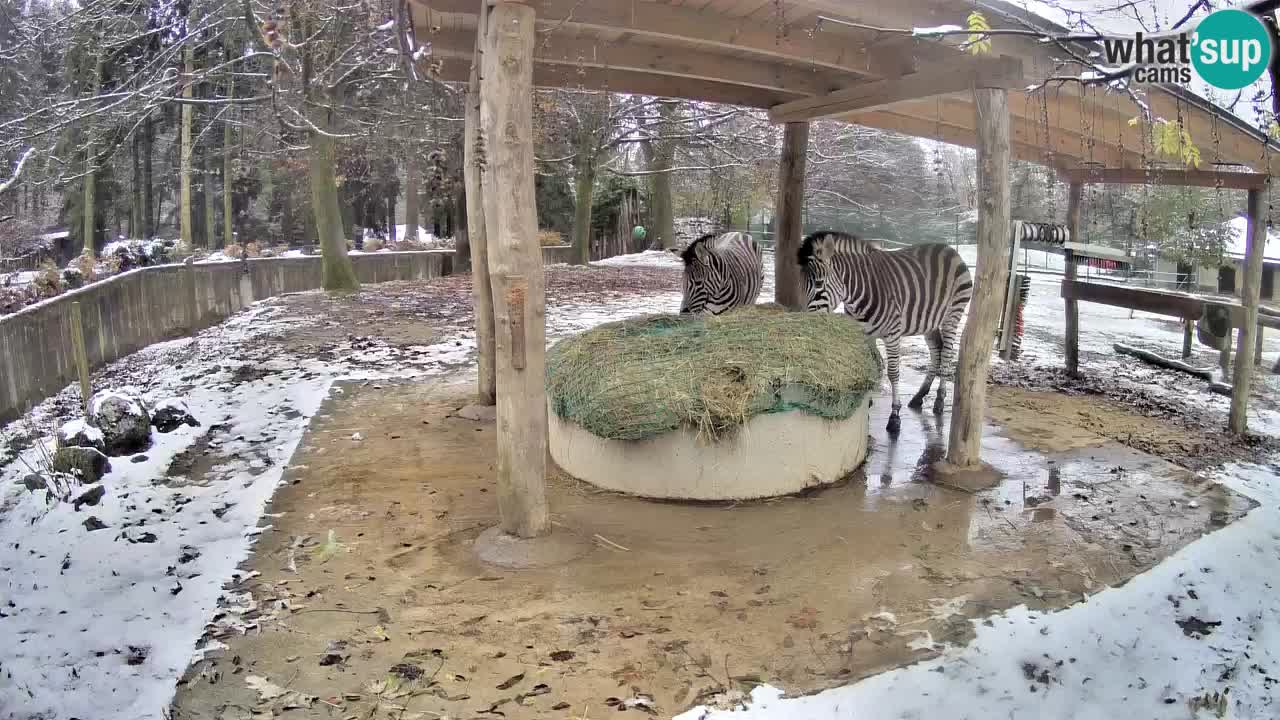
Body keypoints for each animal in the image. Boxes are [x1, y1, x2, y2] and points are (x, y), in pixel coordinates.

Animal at [793, 229, 972, 430]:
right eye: (800, 284)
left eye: (818, 283)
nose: (806, 323)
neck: (859, 294)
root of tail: (949, 248)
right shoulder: (864, 334)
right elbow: (872, 365)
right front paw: (867, 404)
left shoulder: (892, 334)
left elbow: (893, 373)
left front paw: (894, 415)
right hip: (929, 322)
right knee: (937, 352)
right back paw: (919, 396)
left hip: (953, 315)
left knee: (947, 354)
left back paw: (939, 400)